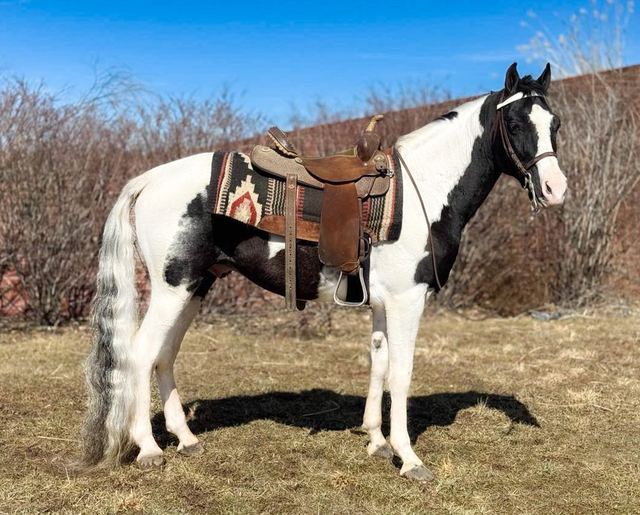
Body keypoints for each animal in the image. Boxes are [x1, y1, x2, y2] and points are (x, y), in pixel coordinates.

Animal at [81, 63, 567, 481]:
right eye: (516, 124)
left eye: (555, 124)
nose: (555, 189)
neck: (423, 193)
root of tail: (148, 180)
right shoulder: (408, 301)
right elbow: (401, 374)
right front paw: (408, 458)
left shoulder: (383, 304)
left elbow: (378, 363)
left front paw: (376, 441)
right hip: (173, 289)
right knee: (141, 353)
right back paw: (149, 449)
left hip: (194, 287)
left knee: (164, 355)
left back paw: (185, 438)